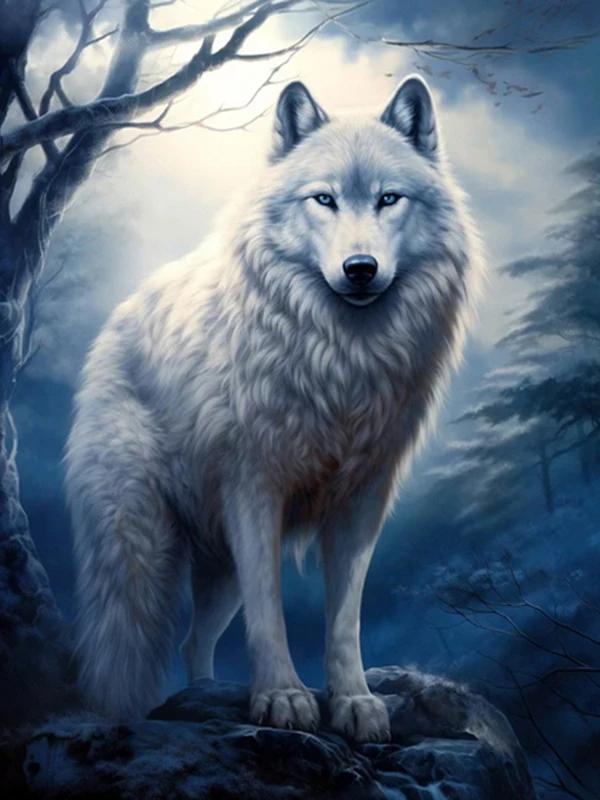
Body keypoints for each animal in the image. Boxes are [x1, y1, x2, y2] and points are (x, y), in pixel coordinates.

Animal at [66, 75, 483, 742]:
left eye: (389, 199)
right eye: (324, 200)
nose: (360, 269)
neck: (340, 361)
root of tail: (120, 316)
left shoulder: (362, 503)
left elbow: (344, 621)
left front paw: (354, 702)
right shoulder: (253, 490)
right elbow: (272, 615)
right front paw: (284, 697)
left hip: (219, 569)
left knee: (192, 643)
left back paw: (205, 692)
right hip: (141, 549)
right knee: (123, 646)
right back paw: (124, 712)